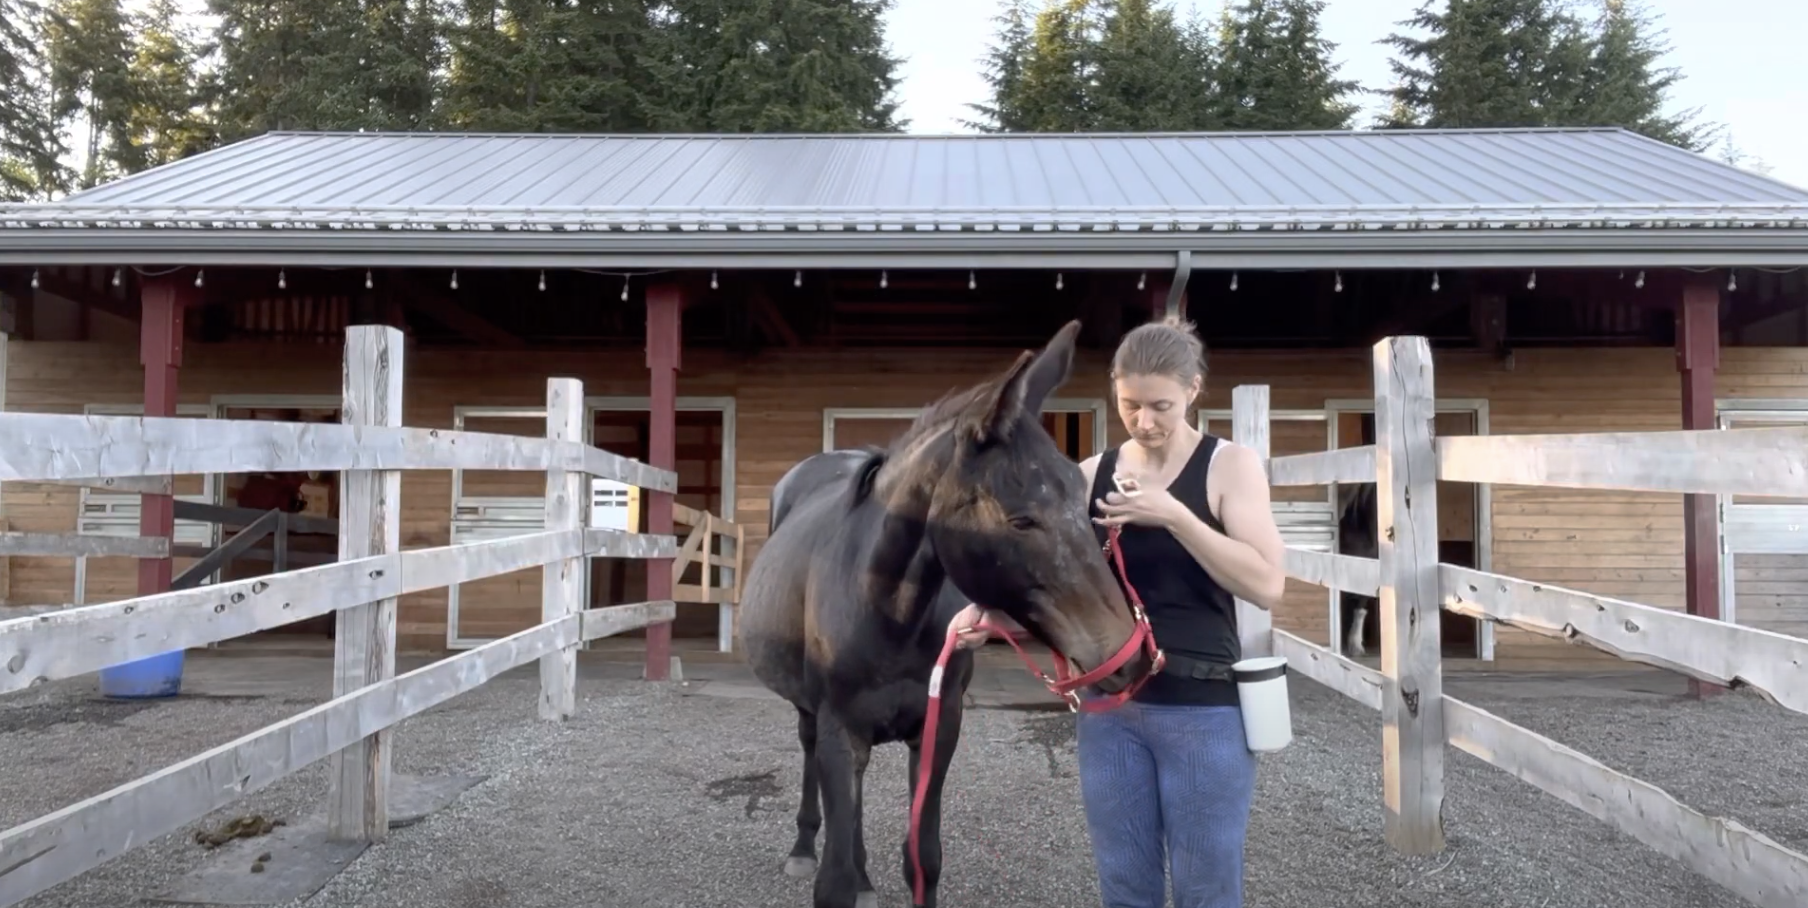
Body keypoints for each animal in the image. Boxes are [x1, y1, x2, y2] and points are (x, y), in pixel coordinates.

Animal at [741, 321, 1164, 904]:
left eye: (1083, 499)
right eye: (1020, 519)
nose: (1131, 656)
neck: (886, 614)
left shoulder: (939, 729)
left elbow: (923, 857)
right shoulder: (838, 733)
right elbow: (835, 879)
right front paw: (831, 865)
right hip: (811, 714)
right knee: (808, 753)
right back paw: (804, 846)